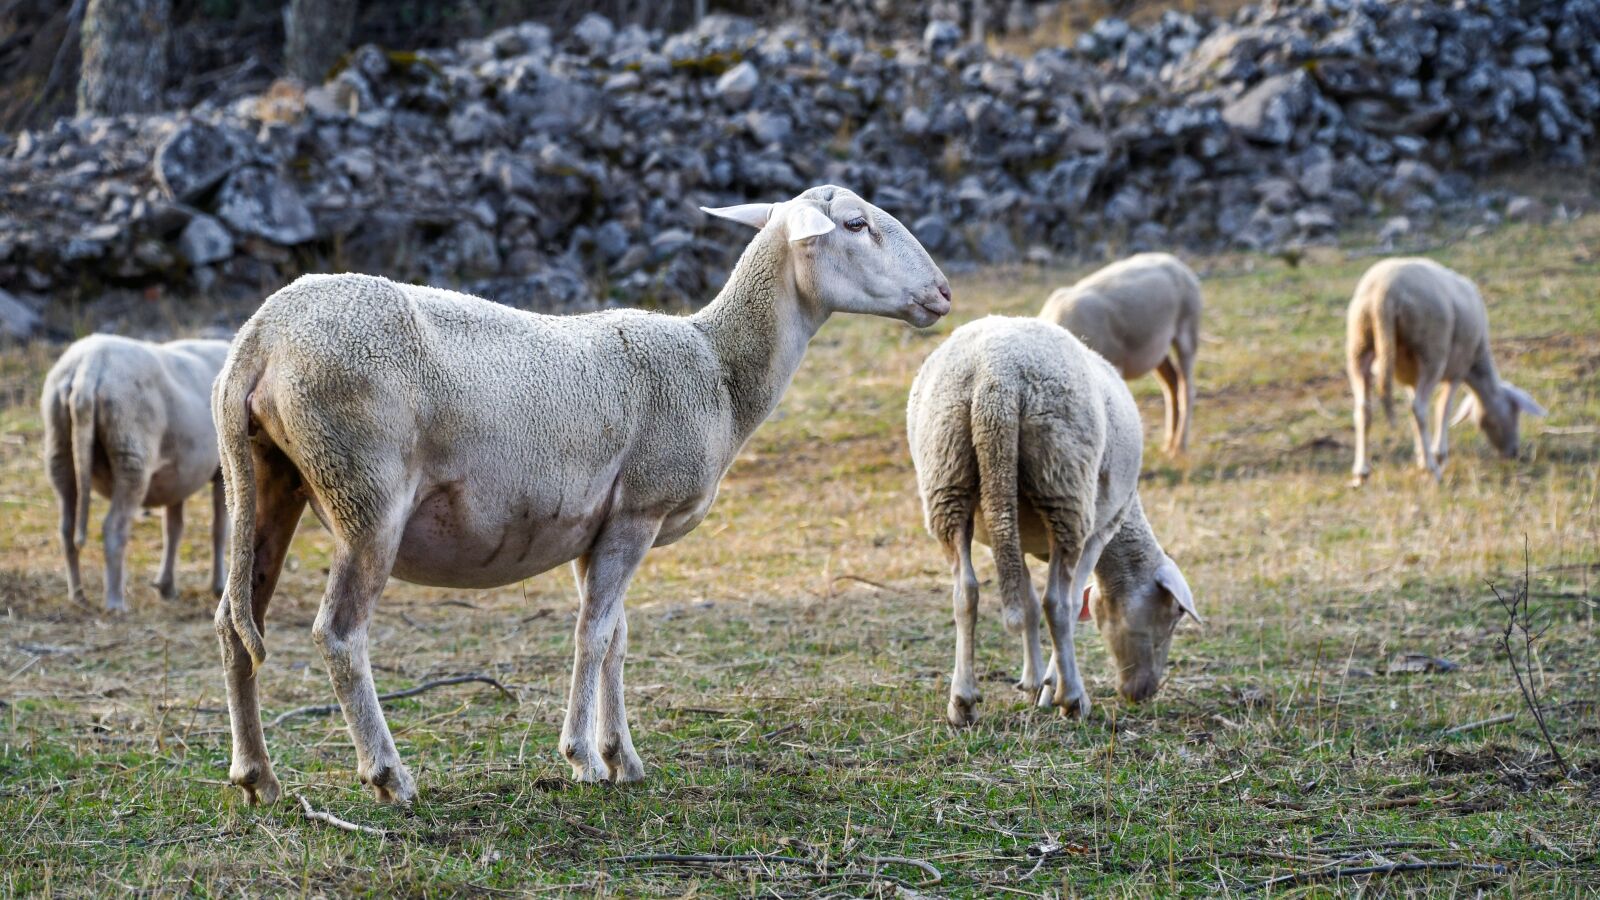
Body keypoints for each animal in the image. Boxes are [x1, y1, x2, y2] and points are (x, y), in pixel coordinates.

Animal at [40, 335, 231, 611]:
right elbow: (219, 529)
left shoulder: (177, 477)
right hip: (131, 450)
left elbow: (173, 528)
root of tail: (89, 366)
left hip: (59, 445)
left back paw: (77, 594)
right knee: (113, 527)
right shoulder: (220, 470)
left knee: (66, 528)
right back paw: (115, 601)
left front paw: (166, 586)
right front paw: (217, 586)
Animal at [211, 185, 951, 806]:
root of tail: (262, 335)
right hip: (367, 491)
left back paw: (257, 778)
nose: (943, 293)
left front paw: (622, 754)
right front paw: (583, 758)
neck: (718, 368)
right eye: (855, 224)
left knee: (233, 624)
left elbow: (616, 636)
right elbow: (592, 636)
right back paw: (388, 774)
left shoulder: (597, 523)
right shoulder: (641, 508)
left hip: (267, 481)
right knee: (338, 632)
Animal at [907, 316, 1199, 726]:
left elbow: (1028, 603)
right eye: (1173, 615)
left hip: (947, 477)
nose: (1141, 693)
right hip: (1065, 485)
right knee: (1057, 603)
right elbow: (1070, 603)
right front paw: (1050, 688)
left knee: (965, 592)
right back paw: (1074, 699)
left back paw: (962, 702)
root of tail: (997, 380)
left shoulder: (1008, 536)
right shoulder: (1098, 532)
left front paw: (1033, 684)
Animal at [1038, 253, 1202, 456]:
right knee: (1172, 382)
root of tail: (1175, 261)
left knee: (1187, 388)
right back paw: (1167, 445)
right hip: (1157, 349)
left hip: (1188, 327)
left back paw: (1178, 449)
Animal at [1346, 258, 1546, 484]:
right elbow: (1444, 408)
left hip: (1359, 342)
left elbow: (1413, 413)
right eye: (1515, 412)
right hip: (1432, 349)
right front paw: (1436, 454)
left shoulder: (1411, 376)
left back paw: (1361, 471)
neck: (1477, 367)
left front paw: (1421, 454)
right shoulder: (1458, 369)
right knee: (1420, 408)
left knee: (1364, 409)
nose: (1512, 453)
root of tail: (1384, 293)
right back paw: (1432, 469)